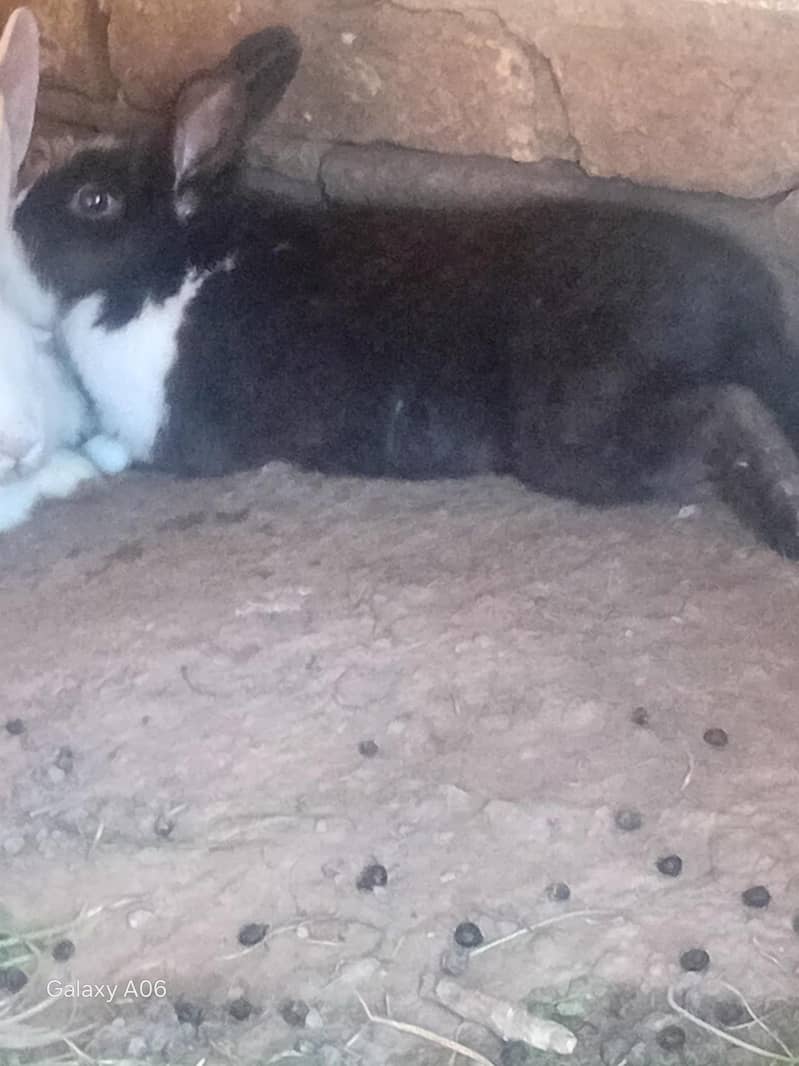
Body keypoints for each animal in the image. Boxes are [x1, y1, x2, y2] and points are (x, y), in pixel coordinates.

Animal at [12, 25, 799, 556]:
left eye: (93, 202)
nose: (13, 226)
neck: (164, 267)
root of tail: (748, 307)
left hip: (578, 425)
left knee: (720, 415)